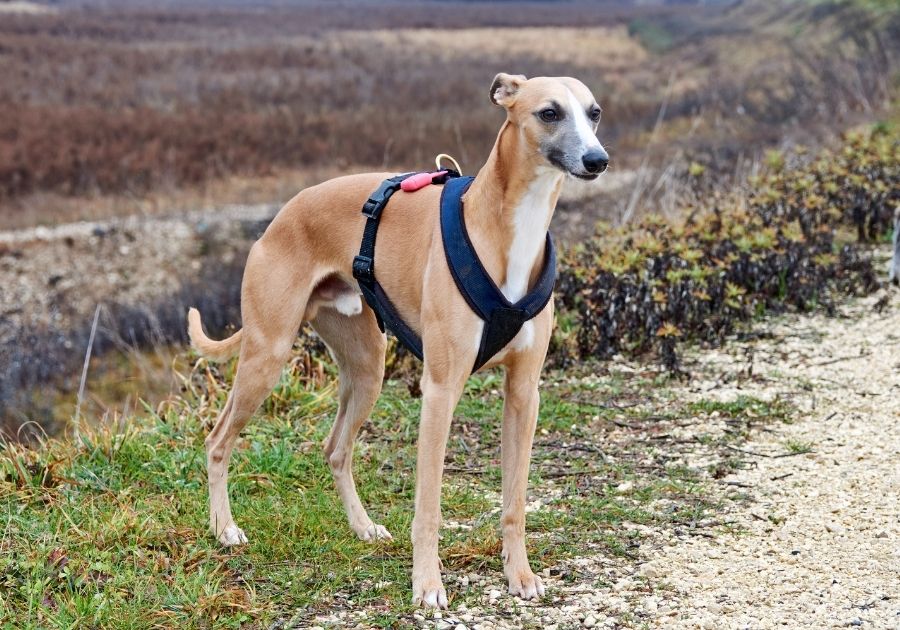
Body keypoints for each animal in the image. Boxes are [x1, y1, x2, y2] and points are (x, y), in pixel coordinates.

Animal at [190, 75, 612, 612]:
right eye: (550, 113)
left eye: (594, 112)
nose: (598, 159)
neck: (510, 230)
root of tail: (279, 217)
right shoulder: (440, 391)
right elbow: (428, 506)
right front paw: (428, 585)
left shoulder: (524, 394)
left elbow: (515, 501)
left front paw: (520, 575)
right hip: (267, 354)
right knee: (218, 441)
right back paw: (224, 529)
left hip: (368, 370)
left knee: (335, 449)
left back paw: (363, 527)